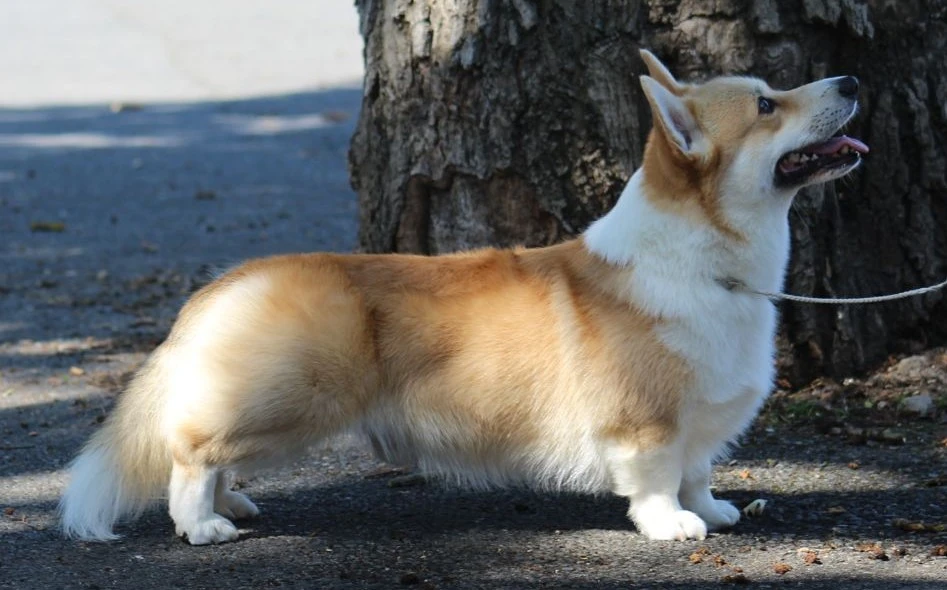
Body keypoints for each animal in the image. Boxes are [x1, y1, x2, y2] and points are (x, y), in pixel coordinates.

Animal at [60, 50, 867, 544]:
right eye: (766, 105)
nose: (853, 83)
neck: (706, 262)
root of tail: (220, 286)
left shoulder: (700, 420)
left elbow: (699, 470)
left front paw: (714, 510)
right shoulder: (646, 422)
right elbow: (659, 478)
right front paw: (672, 526)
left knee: (214, 454)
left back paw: (232, 501)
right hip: (291, 400)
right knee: (191, 451)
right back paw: (203, 524)